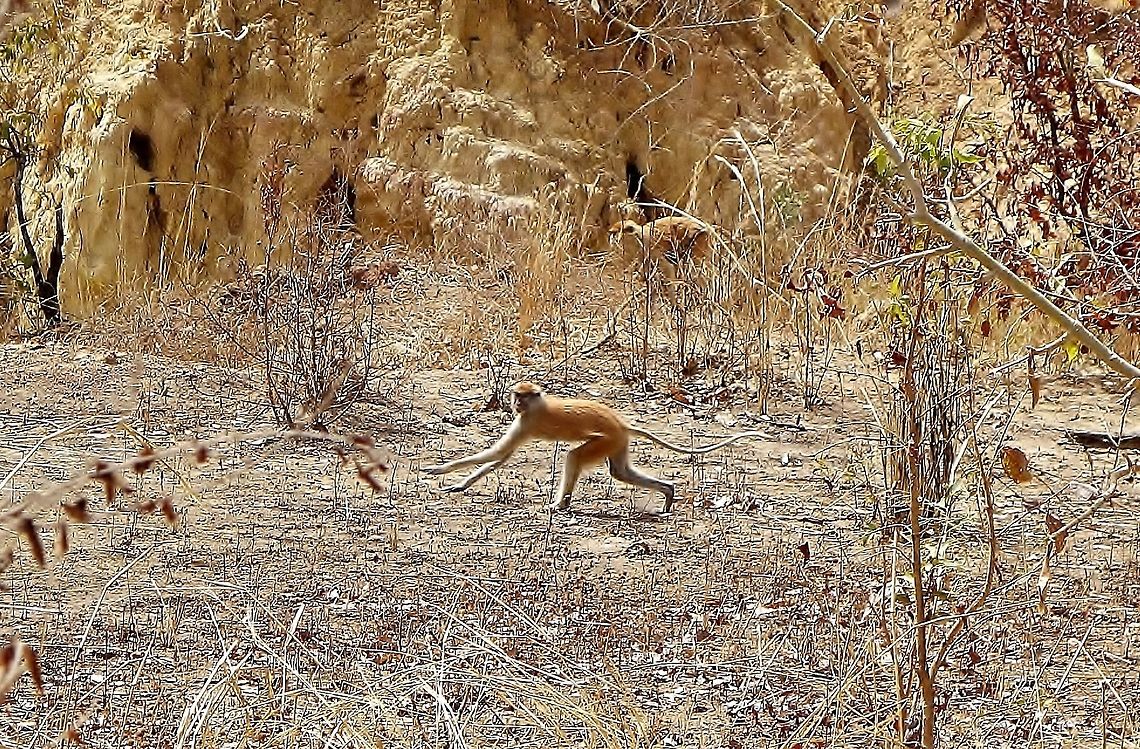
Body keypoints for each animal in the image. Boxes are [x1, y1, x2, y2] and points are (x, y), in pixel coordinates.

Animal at [423, 381, 767, 513]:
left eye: (523, 396)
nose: (515, 403)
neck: (538, 405)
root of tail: (622, 424)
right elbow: (499, 458)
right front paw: (459, 484)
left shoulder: (527, 422)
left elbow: (497, 454)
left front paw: (439, 469)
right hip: (618, 443)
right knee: (620, 472)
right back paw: (668, 493)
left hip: (606, 439)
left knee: (575, 457)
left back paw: (559, 505)